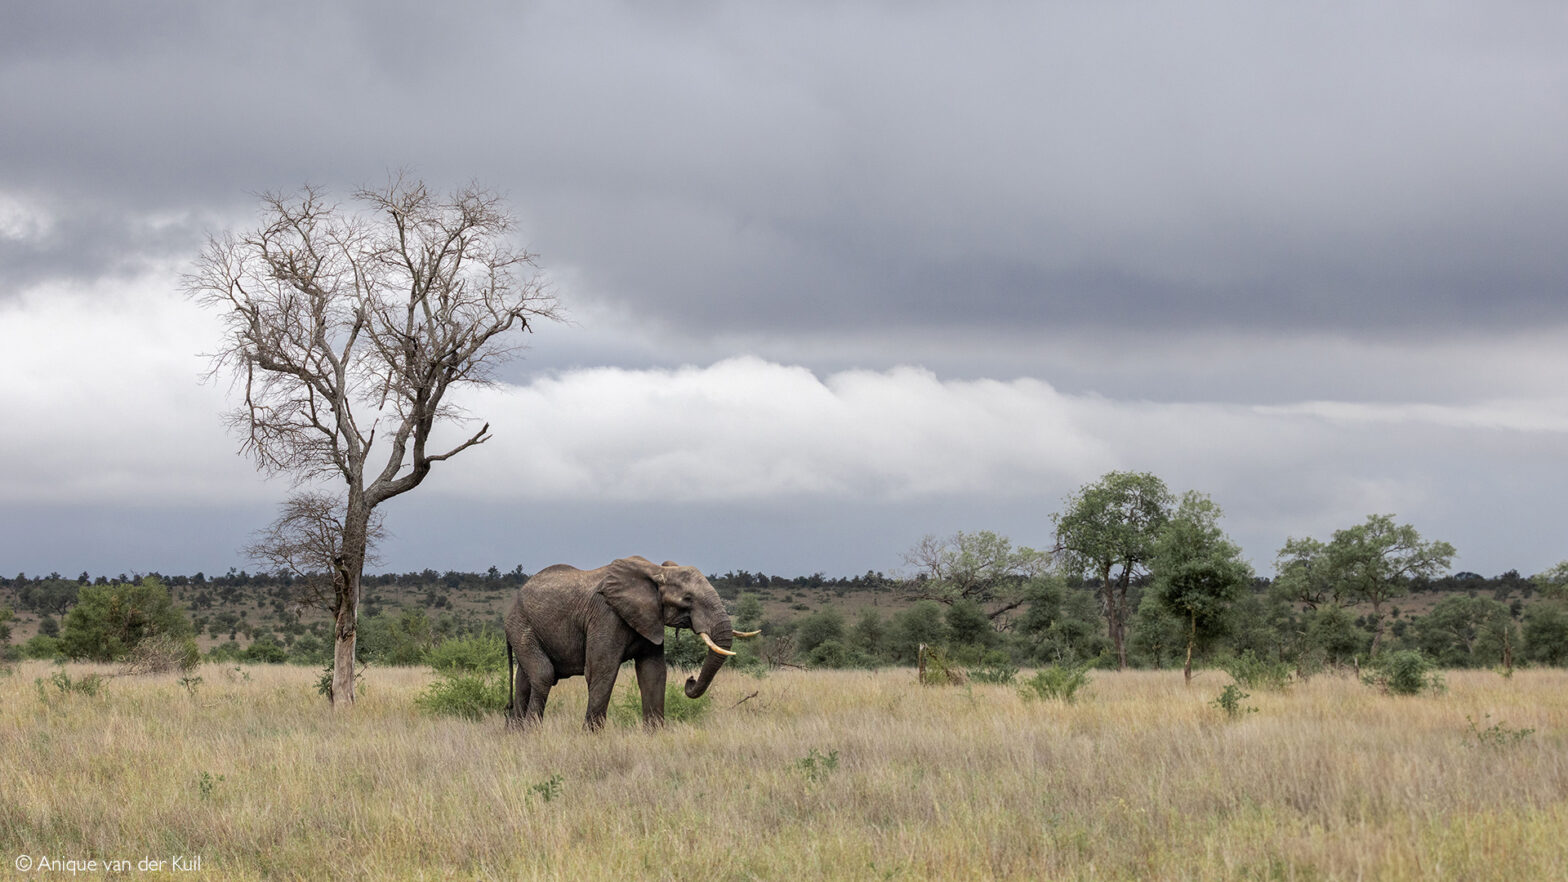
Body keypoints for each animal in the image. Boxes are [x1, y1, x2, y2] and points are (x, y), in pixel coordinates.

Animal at [504, 556, 759, 730]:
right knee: (543, 674)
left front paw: (654, 735)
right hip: (521, 624)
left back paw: (517, 732)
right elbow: (602, 669)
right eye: (687, 599)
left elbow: (653, 673)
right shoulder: (606, 616)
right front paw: (591, 737)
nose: (690, 679)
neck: (657, 571)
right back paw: (532, 731)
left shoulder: (650, 619)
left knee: (524, 680)